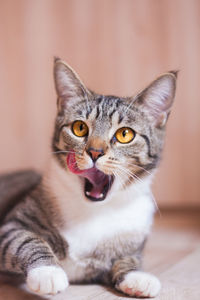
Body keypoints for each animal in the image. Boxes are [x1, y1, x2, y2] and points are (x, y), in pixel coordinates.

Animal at [0, 58, 177, 298]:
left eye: (125, 134)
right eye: (79, 127)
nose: (95, 152)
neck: (95, 211)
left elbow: (128, 258)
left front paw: (137, 277)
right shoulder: (12, 224)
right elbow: (26, 239)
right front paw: (47, 272)